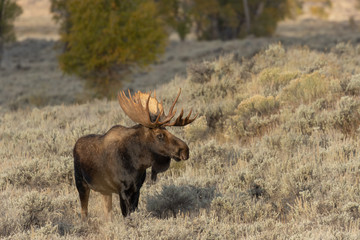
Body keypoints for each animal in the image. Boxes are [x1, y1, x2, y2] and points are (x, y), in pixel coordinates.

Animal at [73, 89, 197, 219]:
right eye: (159, 135)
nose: (185, 150)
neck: (138, 164)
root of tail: (75, 145)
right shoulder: (123, 190)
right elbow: (127, 215)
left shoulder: (137, 189)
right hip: (81, 184)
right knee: (84, 213)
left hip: (105, 191)